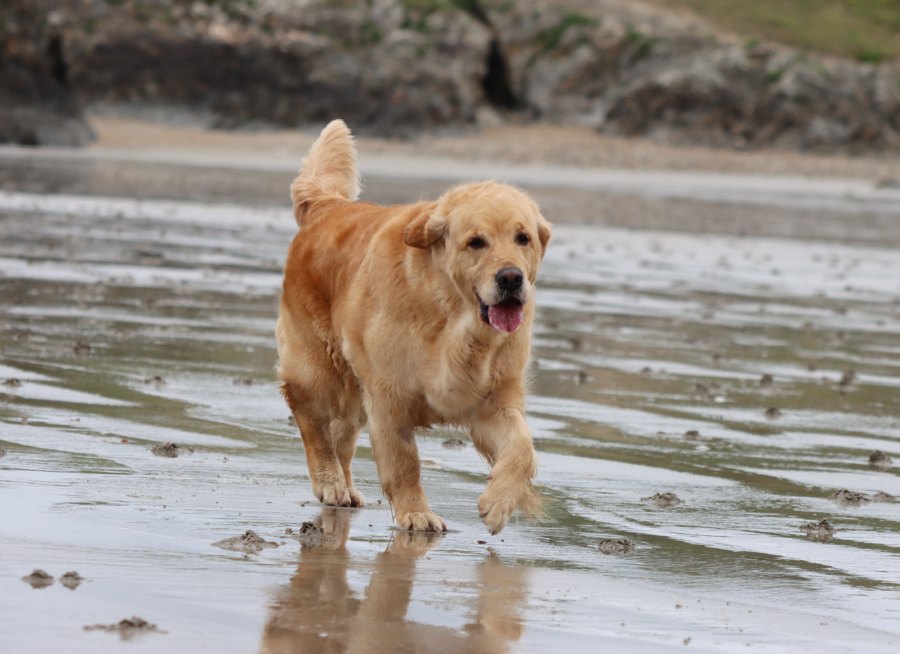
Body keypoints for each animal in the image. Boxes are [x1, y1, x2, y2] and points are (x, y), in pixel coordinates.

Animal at [276, 120, 551, 534]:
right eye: (476, 242)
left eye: (523, 238)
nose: (511, 278)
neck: (454, 323)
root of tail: (330, 205)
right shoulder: (389, 398)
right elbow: (405, 463)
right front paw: (416, 514)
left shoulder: (492, 401)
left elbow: (522, 448)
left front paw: (499, 502)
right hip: (322, 369)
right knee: (311, 418)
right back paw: (329, 481)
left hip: (355, 387)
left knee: (342, 434)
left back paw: (346, 488)